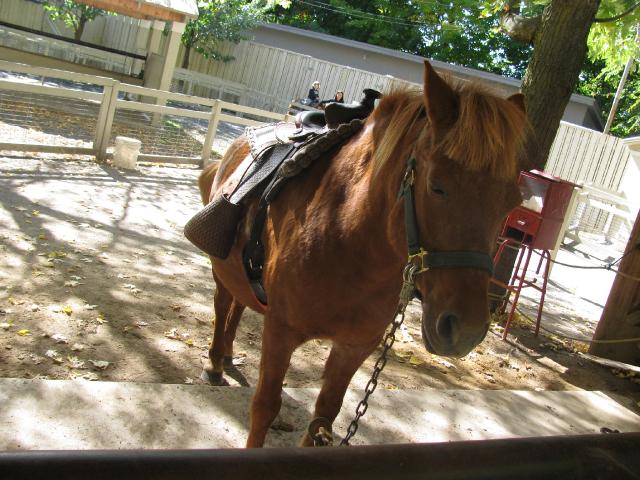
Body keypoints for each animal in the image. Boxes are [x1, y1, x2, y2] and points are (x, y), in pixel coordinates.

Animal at [197, 61, 528, 448]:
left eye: (513, 201)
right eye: (437, 186)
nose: (466, 331)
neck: (349, 242)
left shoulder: (354, 347)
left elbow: (323, 418)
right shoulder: (280, 332)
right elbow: (265, 406)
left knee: (239, 302)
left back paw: (227, 355)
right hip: (221, 269)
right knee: (223, 304)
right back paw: (215, 362)